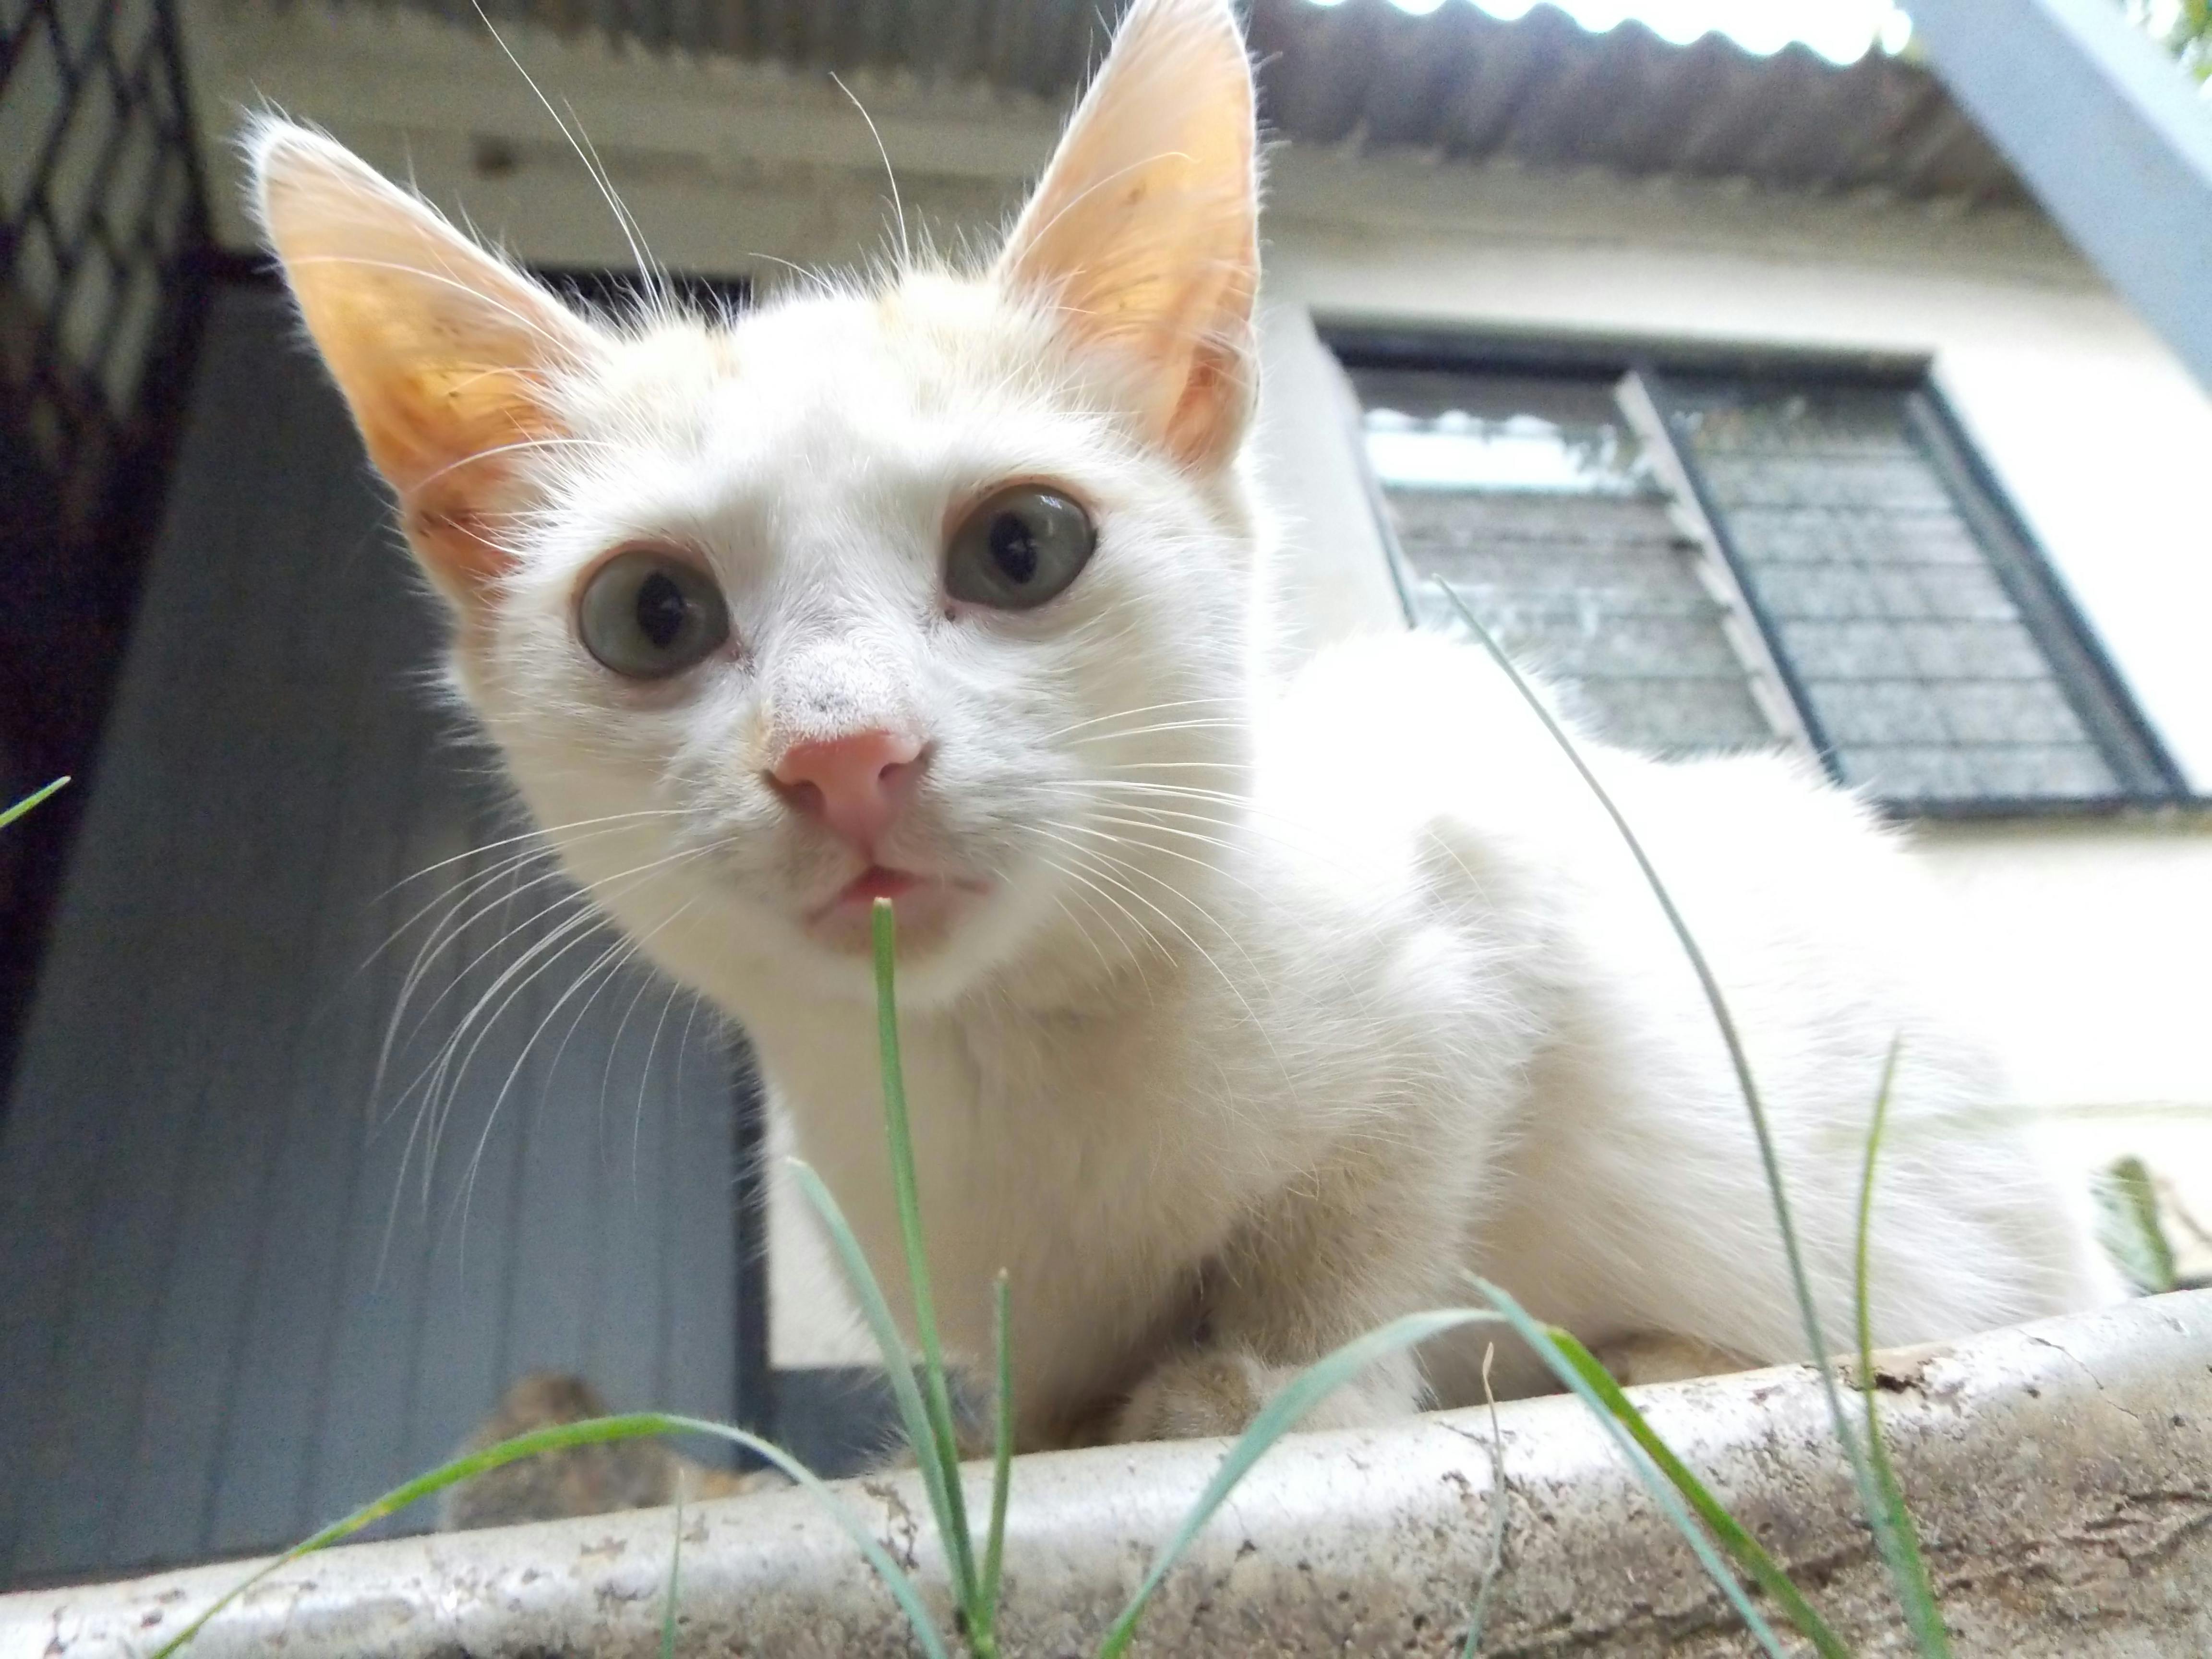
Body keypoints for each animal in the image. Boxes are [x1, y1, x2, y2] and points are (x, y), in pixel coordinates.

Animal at [251, 0, 2115, 1451]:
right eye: (651, 615)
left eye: (1021, 547)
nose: (843, 753)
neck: (998, 1058)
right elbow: (1029, 1385)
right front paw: (1024, 1438)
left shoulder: (1481, 844)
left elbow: (1373, 1192)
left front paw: (1265, 1373)